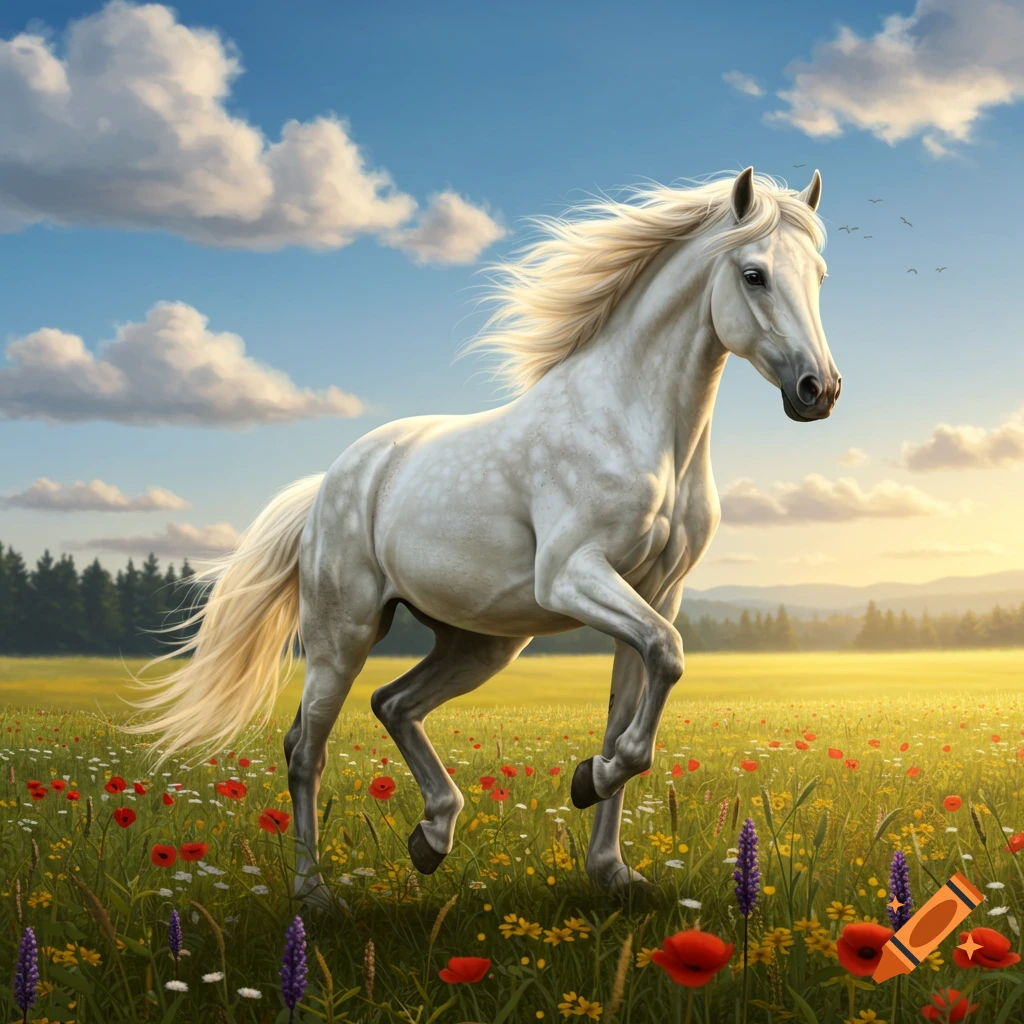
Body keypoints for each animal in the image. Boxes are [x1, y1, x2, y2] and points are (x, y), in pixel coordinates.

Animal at [131, 166, 840, 900]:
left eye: (819, 274)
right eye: (755, 274)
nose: (819, 390)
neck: (638, 428)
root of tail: (330, 481)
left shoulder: (655, 594)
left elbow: (635, 698)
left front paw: (610, 864)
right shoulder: (572, 575)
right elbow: (667, 659)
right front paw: (591, 780)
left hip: (481, 642)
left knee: (392, 703)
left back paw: (432, 836)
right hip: (343, 634)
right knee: (307, 748)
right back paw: (316, 893)